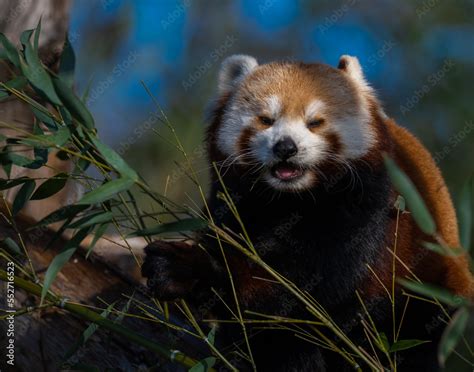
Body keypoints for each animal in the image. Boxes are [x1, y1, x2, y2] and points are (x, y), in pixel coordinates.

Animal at [142, 53, 474, 370]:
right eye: (266, 119)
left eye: (315, 122)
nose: (285, 147)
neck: (290, 201)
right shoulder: (233, 206)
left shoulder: (368, 213)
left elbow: (309, 288)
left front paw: (193, 267)